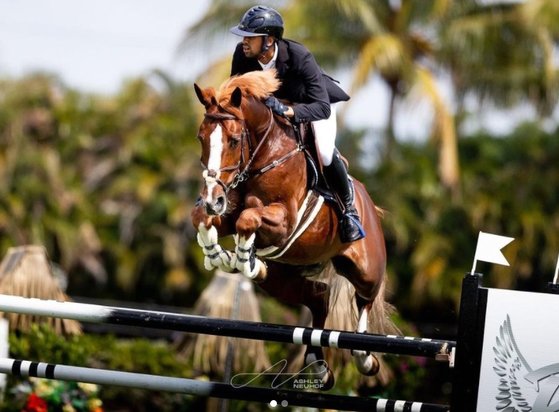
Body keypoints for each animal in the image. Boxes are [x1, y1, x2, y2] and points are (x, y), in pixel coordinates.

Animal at [192, 69, 398, 388]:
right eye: (201, 138)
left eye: (235, 141)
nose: (213, 199)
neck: (264, 155)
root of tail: (369, 204)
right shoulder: (226, 208)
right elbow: (202, 218)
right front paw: (219, 254)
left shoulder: (284, 221)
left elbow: (247, 219)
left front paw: (241, 255)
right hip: (282, 280)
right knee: (319, 299)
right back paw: (320, 368)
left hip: (366, 268)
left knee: (365, 300)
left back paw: (365, 358)